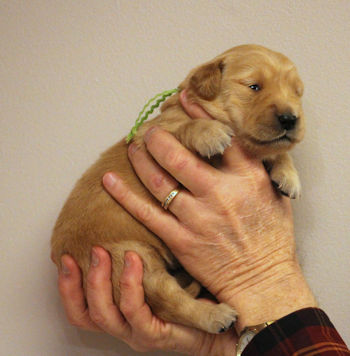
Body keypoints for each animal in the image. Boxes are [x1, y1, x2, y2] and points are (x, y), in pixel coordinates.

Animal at [50, 45, 304, 334]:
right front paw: (210, 133)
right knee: (168, 302)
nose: (290, 119)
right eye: (254, 86)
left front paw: (288, 176)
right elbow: (186, 127)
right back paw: (215, 315)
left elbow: (278, 150)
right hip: (132, 258)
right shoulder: (153, 134)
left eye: (297, 92)